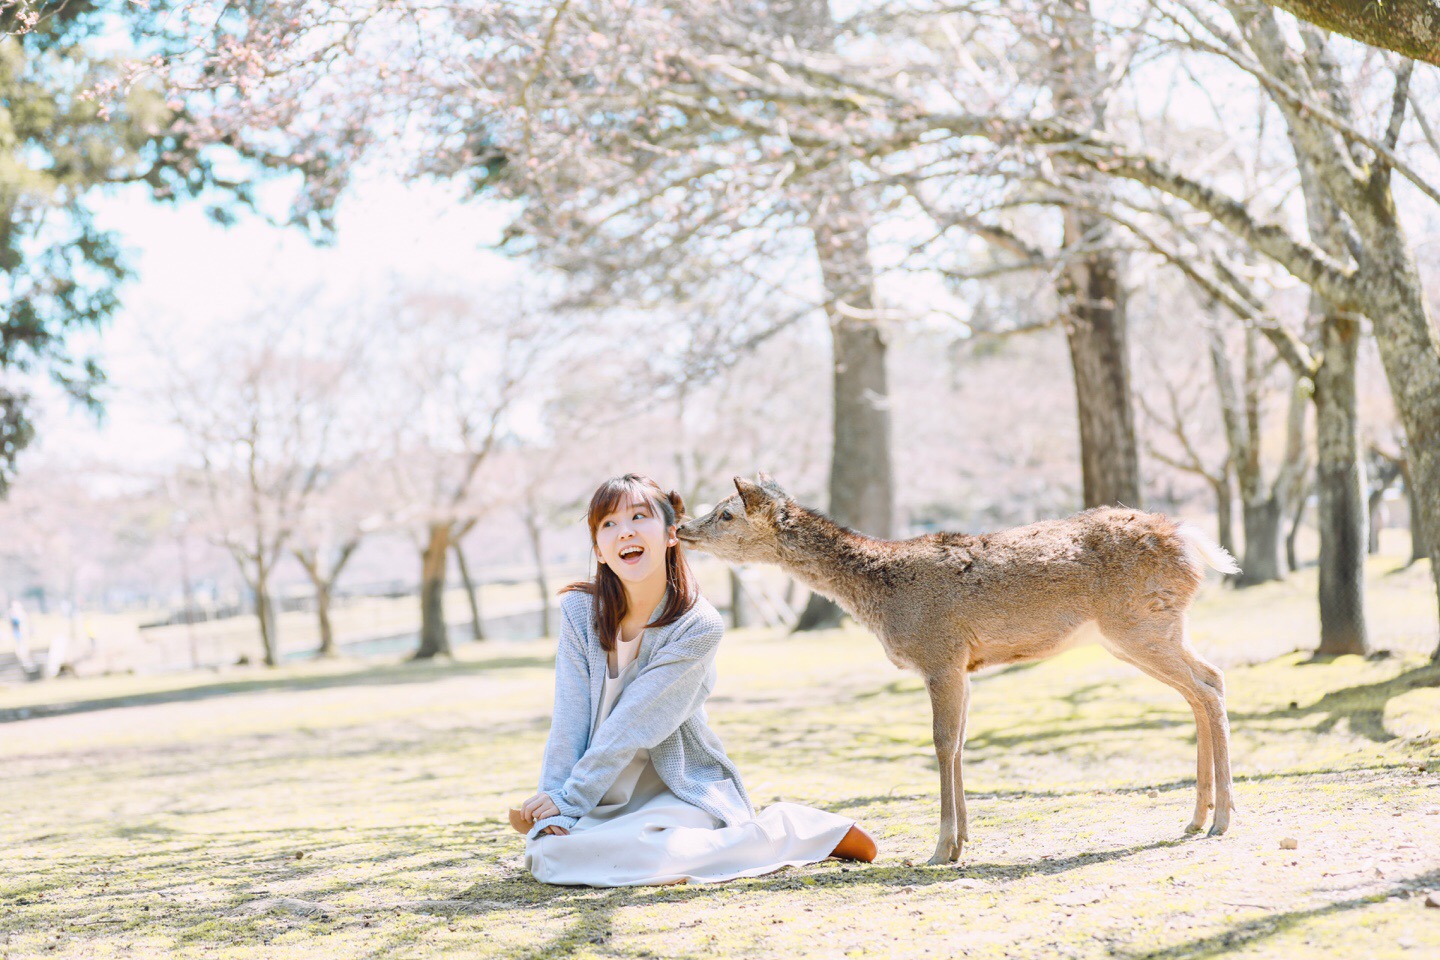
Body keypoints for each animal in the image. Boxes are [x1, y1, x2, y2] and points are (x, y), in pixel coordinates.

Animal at [673, 477, 1238, 869]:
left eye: (725, 513)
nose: (682, 527)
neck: (880, 598)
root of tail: (1194, 545)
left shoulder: (939, 654)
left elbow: (943, 742)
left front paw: (941, 847)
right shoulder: (964, 664)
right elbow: (962, 741)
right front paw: (964, 839)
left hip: (1140, 623)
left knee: (1208, 684)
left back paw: (1222, 819)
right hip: (1144, 631)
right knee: (1205, 683)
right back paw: (1196, 817)